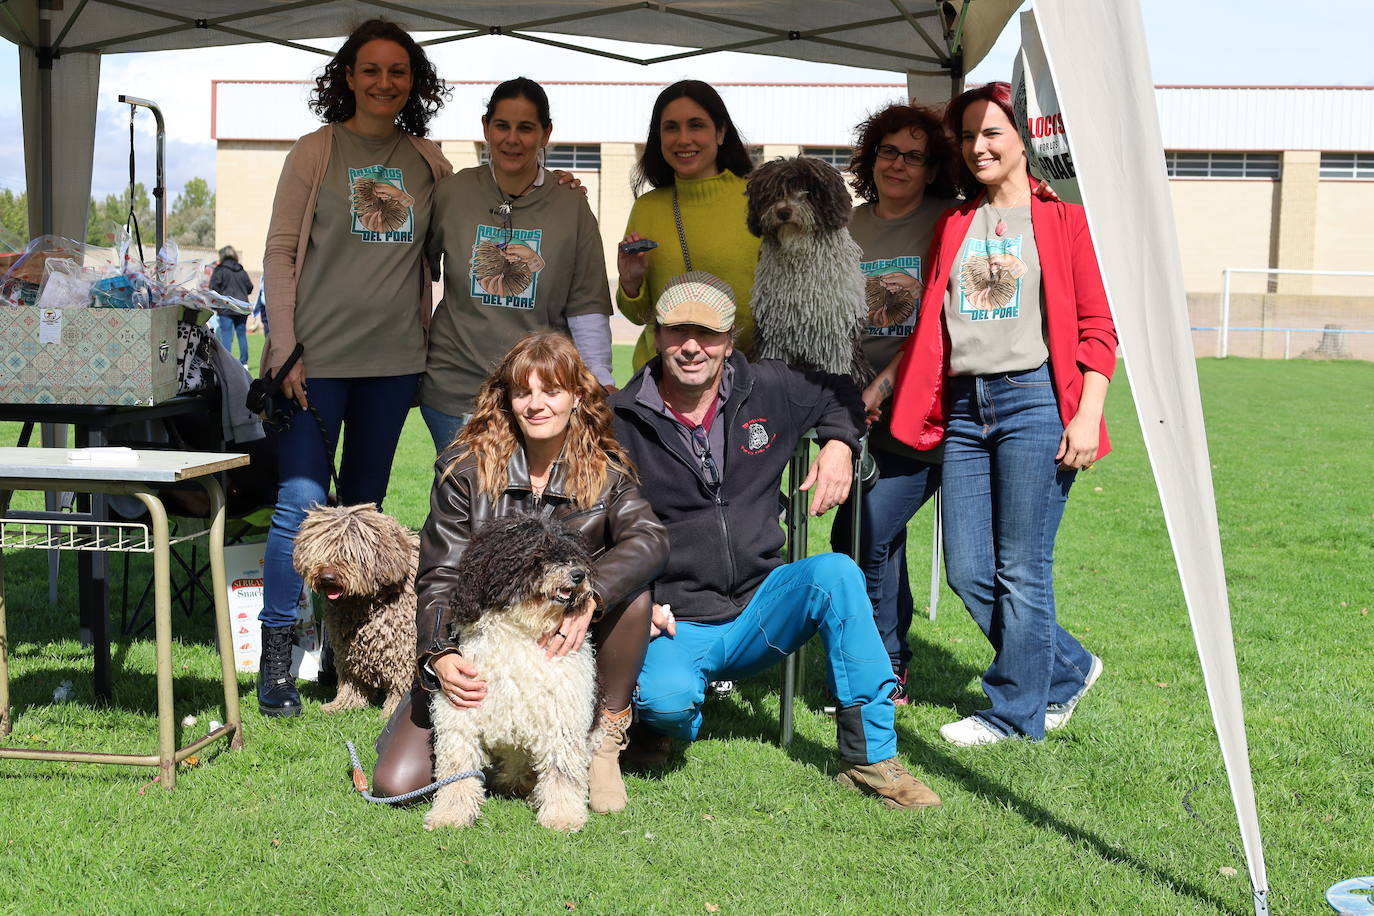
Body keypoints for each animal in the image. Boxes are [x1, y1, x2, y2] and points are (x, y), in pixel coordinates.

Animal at [292, 505, 414, 719]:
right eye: (321, 550)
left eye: (349, 553)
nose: (327, 577)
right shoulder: (347, 648)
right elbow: (352, 678)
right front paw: (343, 704)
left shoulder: (404, 648)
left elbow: (401, 682)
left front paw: (393, 712)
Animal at [425, 516, 599, 829]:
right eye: (537, 556)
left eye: (572, 554)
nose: (578, 575)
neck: (520, 632)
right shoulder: (460, 716)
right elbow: (457, 771)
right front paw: (450, 814)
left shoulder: (561, 718)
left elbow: (562, 772)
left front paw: (562, 816)